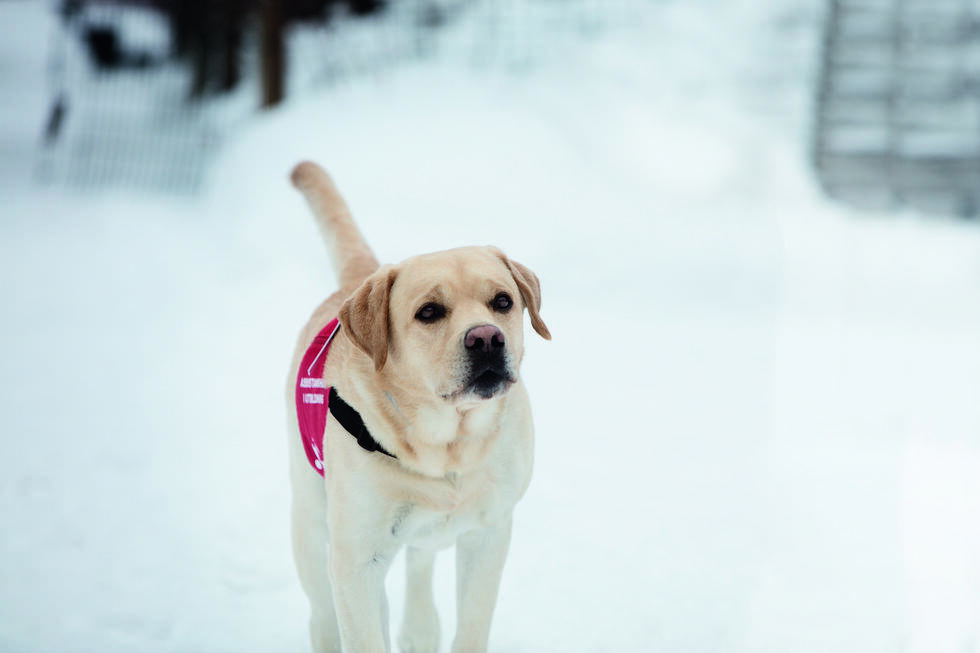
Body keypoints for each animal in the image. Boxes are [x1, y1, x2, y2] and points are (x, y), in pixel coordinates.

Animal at [288, 162, 552, 652]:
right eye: (428, 312)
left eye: (502, 301)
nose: (486, 338)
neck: (447, 447)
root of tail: (363, 278)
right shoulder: (356, 559)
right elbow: (363, 634)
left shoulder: (489, 533)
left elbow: (472, 626)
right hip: (312, 522)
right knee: (322, 611)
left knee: (419, 565)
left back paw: (419, 631)